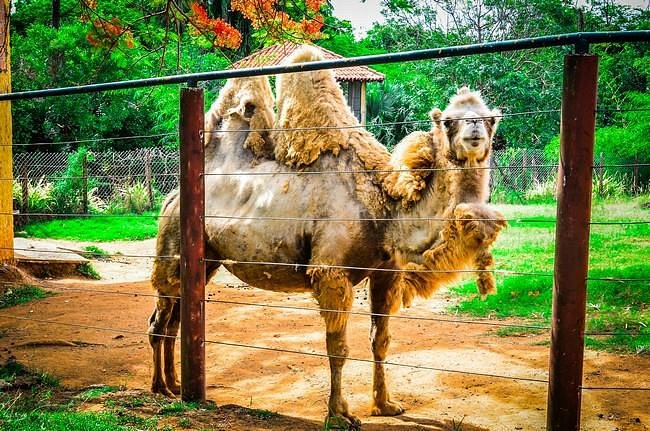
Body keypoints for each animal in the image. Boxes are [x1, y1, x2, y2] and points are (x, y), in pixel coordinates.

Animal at [149, 45, 504, 426]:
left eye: (489, 118)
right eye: (450, 120)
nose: (474, 132)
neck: (384, 209)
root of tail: (171, 195)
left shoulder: (386, 272)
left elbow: (381, 340)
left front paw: (386, 404)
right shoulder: (331, 272)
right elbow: (338, 349)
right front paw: (339, 415)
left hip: (207, 259)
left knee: (175, 319)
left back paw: (173, 385)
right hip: (172, 243)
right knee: (160, 318)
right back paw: (159, 387)